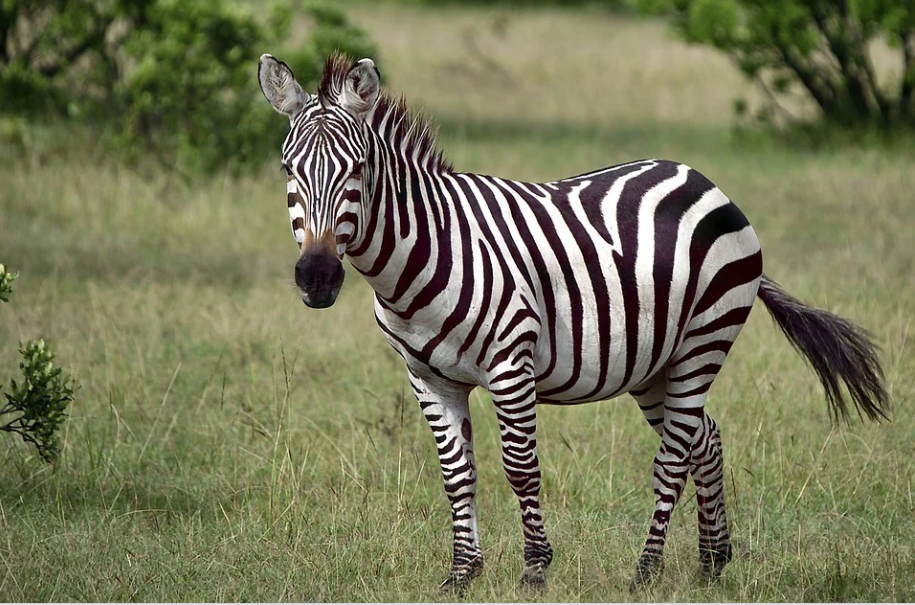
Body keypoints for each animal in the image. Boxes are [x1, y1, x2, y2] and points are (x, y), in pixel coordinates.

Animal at [257, 53, 890, 591]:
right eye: (288, 168)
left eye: (359, 168)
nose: (318, 277)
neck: (425, 252)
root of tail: (701, 179)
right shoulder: (428, 377)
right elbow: (456, 474)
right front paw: (461, 575)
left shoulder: (511, 363)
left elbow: (521, 469)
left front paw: (535, 570)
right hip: (653, 363)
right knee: (703, 439)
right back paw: (712, 564)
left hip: (703, 341)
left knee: (673, 457)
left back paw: (646, 572)